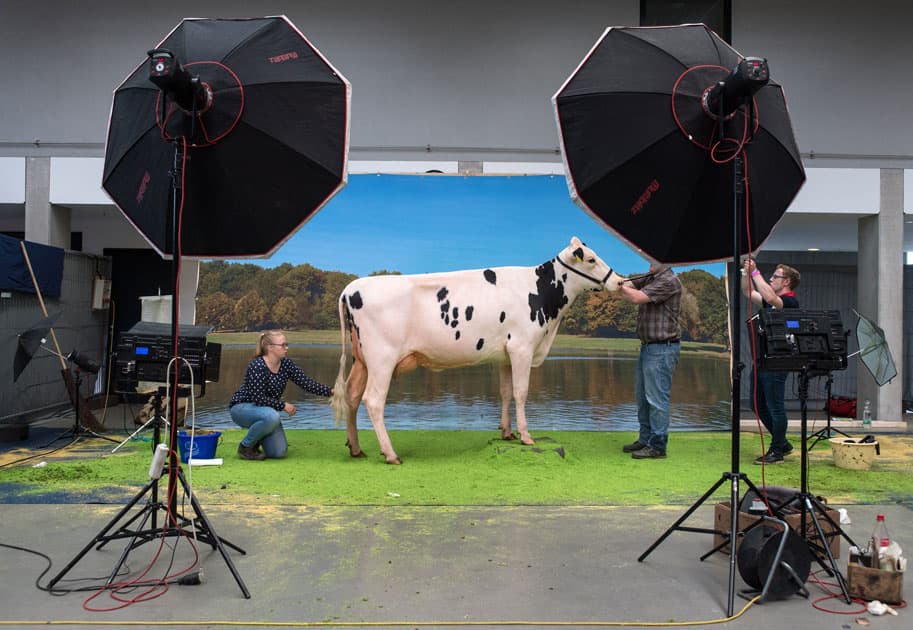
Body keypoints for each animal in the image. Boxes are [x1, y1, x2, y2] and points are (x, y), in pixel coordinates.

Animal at [332, 237, 624, 464]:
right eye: (590, 259)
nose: (620, 282)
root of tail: (351, 288)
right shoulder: (522, 348)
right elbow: (521, 392)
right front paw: (526, 437)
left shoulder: (506, 354)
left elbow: (505, 392)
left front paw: (507, 433)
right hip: (382, 359)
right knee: (373, 400)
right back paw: (391, 454)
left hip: (362, 360)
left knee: (352, 395)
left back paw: (356, 448)